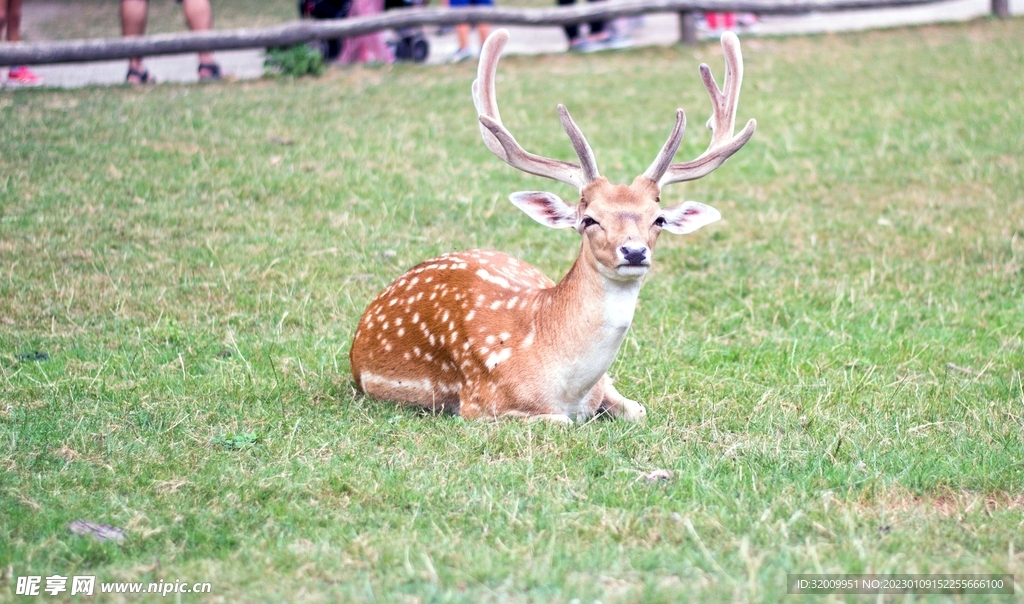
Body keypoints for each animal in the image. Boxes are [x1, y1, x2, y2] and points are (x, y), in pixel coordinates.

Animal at [349, 29, 756, 424]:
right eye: (589, 219)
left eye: (658, 219)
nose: (634, 251)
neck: (567, 387)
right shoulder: (479, 404)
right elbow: (560, 421)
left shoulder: (605, 387)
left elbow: (638, 411)